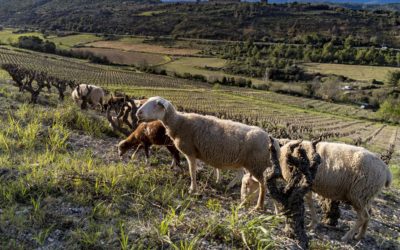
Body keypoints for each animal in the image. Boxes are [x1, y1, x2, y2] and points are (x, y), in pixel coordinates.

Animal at [137, 96, 272, 210]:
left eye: (156, 105)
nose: (138, 113)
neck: (179, 122)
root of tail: (269, 138)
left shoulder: (190, 152)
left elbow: (192, 171)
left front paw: (192, 189)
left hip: (256, 164)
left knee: (263, 185)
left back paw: (259, 205)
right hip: (244, 162)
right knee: (243, 176)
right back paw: (230, 188)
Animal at [242, 140, 392, 241]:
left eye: (246, 184)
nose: (242, 203)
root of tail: (386, 171)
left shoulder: (299, 181)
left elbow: (306, 201)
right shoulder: (306, 183)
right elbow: (309, 201)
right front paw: (312, 223)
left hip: (359, 194)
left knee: (363, 217)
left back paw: (347, 237)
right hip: (367, 195)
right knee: (369, 214)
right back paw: (360, 236)